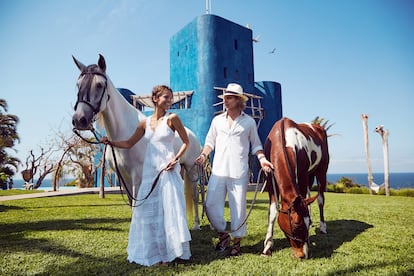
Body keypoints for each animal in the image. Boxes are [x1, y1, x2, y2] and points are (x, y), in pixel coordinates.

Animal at [71, 55, 204, 230]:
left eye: (99, 85)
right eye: (78, 85)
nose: (79, 120)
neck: (125, 130)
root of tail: (192, 136)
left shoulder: (137, 176)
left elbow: (136, 207)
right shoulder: (124, 177)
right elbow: (132, 206)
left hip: (191, 169)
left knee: (195, 196)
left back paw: (196, 224)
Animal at [262, 117, 330, 258]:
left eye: (306, 224)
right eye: (297, 225)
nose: (303, 255)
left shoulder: (302, 175)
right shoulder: (270, 179)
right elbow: (272, 212)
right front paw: (267, 246)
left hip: (321, 170)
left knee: (320, 199)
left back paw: (322, 227)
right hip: (310, 174)